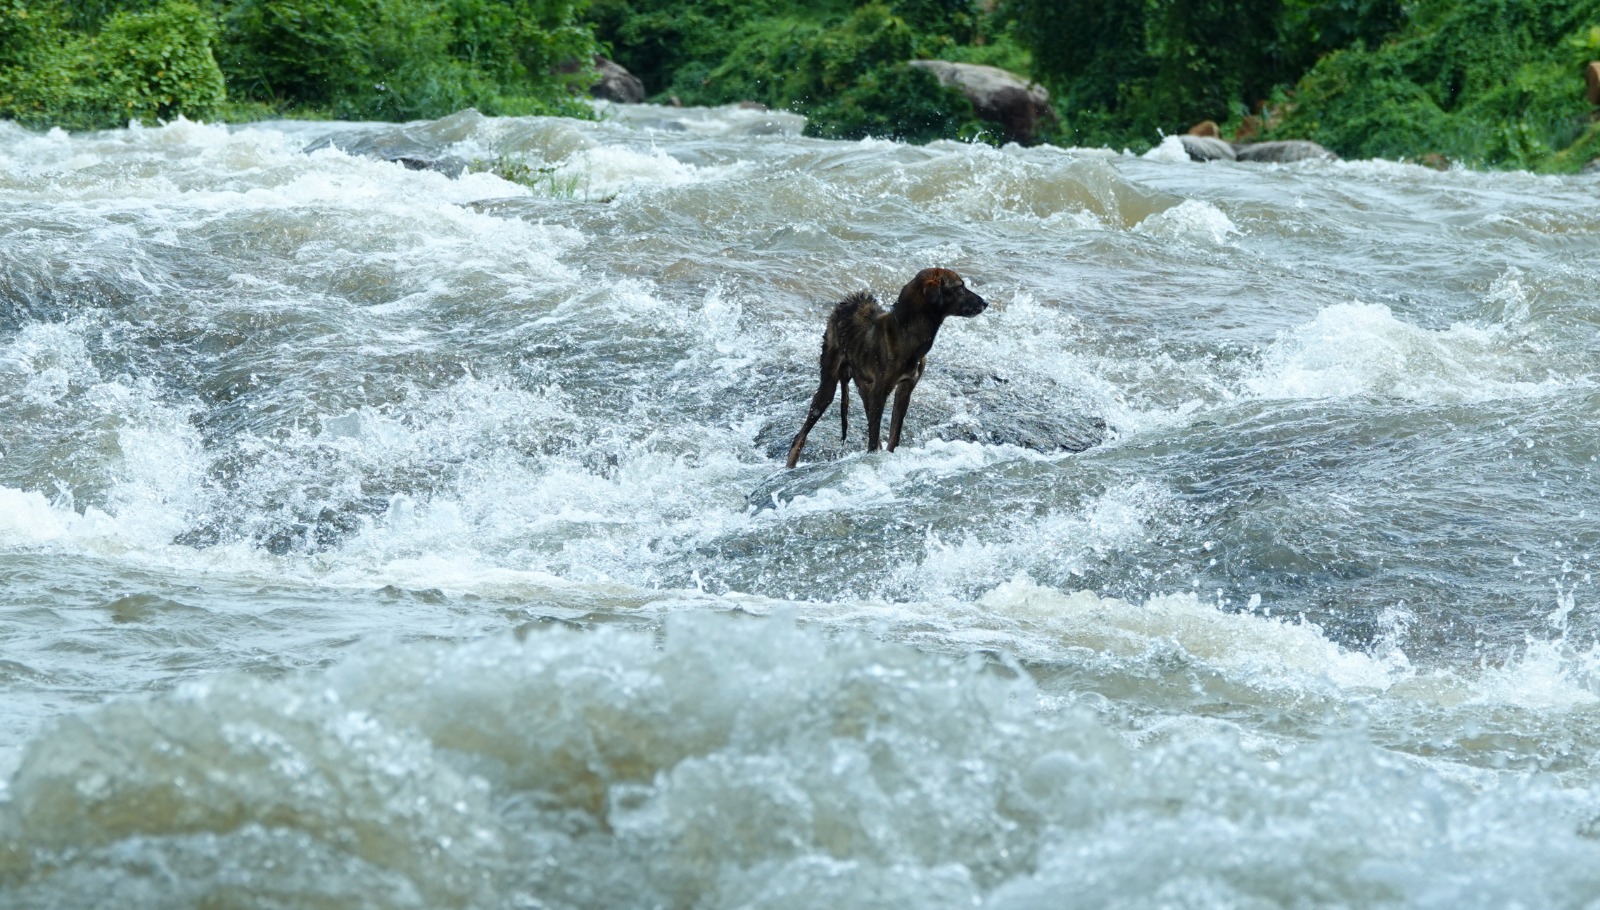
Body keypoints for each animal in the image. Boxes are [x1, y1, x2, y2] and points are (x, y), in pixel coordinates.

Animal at [787, 268, 985, 466]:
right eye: (960, 287)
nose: (986, 303)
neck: (907, 333)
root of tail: (845, 303)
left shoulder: (904, 389)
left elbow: (893, 435)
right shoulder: (880, 392)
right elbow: (874, 440)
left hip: (864, 388)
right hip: (829, 385)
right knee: (800, 436)